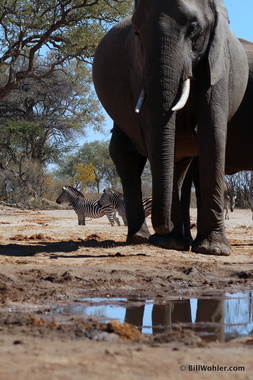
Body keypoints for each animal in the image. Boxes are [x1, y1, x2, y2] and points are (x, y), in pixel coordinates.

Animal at [92, 0, 248, 255]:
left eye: (194, 28)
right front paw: (171, 243)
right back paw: (143, 239)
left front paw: (213, 250)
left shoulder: (217, 64)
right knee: (126, 155)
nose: (163, 226)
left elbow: (212, 135)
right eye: (137, 32)